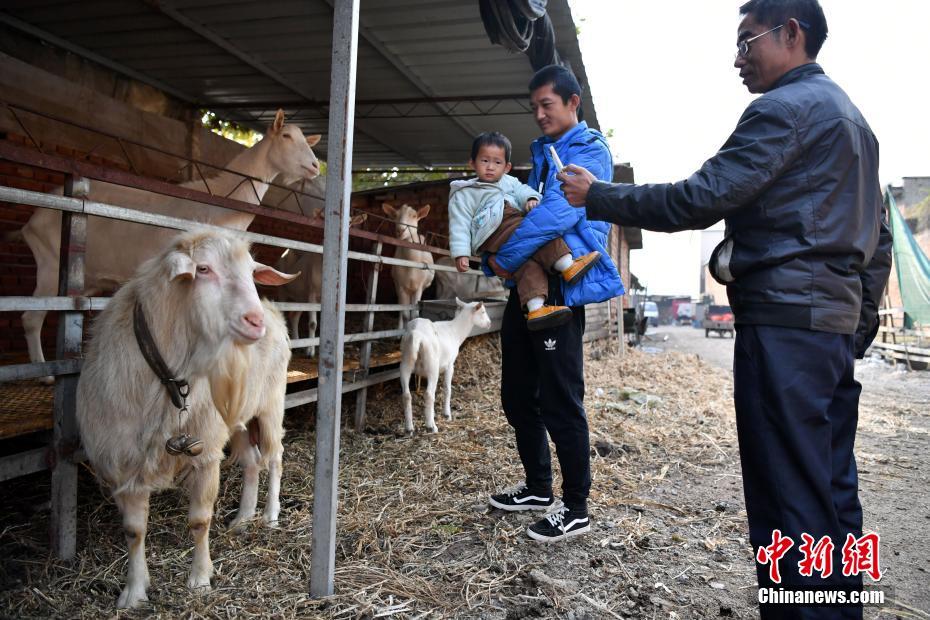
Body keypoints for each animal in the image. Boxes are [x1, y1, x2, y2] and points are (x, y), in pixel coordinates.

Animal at [80, 230, 298, 608]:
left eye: (252, 272)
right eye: (204, 269)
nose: (254, 322)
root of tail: (273, 312)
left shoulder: (205, 452)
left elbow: (199, 520)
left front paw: (199, 579)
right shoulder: (123, 461)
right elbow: (133, 531)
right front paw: (133, 592)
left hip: (271, 403)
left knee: (274, 457)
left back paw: (270, 515)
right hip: (236, 418)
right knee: (252, 461)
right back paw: (243, 518)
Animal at [396, 298, 490, 434]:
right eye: (482, 312)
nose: (489, 324)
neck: (456, 331)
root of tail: (416, 334)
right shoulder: (450, 365)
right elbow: (447, 389)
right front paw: (447, 414)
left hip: (405, 362)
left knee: (406, 395)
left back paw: (409, 428)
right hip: (432, 366)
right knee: (429, 395)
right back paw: (431, 426)